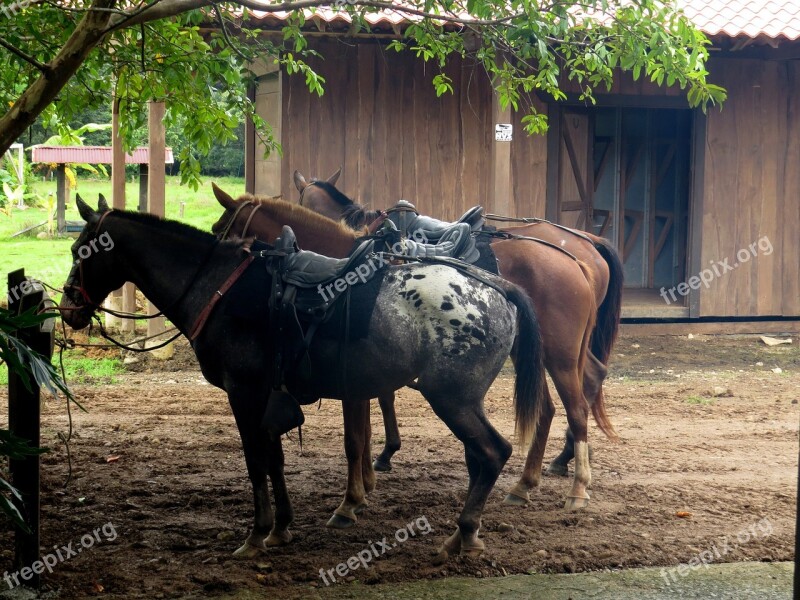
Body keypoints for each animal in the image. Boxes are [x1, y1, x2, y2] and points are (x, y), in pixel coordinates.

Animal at [62, 195, 548, 560]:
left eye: (80, 250)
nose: (68, 308)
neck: (219, 288)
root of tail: (495, 288)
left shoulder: (244, 394)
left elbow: (256, 462)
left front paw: (257, 533)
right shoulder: (267, 397)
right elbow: (275, 460)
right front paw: (281, 527)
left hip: (453, 399)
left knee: (494, 452)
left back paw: (464, 532)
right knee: (483, 456)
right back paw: (468, 531)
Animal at [211, 184, 612, 510]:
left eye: (220, 229)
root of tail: (578, 260)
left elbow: (363, 425)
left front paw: (366, 480)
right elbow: (372, 413)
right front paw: (372, 473)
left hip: (559, 356)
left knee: (576, 408)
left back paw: (577, 486)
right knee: (553, 403)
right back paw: (528, 482)